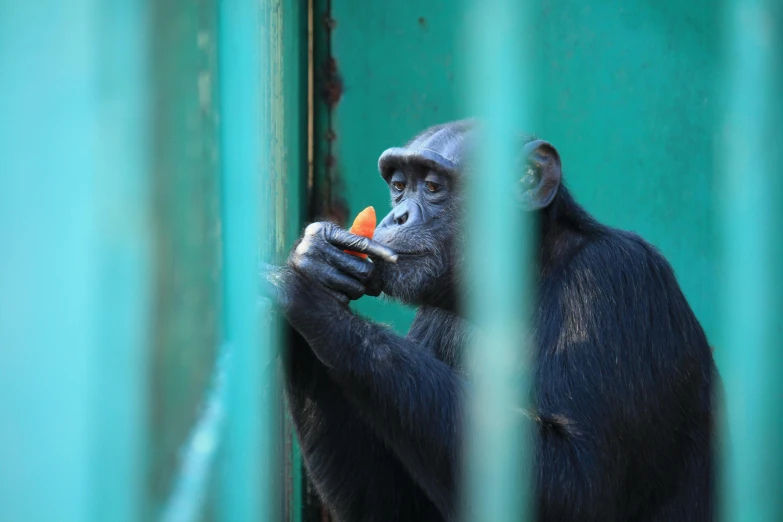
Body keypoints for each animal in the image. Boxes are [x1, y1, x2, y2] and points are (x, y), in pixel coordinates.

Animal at [266, 119, 720, 520]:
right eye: (398, 186)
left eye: (432, 187)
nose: (397, 216)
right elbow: (394, 506)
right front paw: (317, 260)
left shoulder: (614, 280)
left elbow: (578, 482)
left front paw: (311, 300)